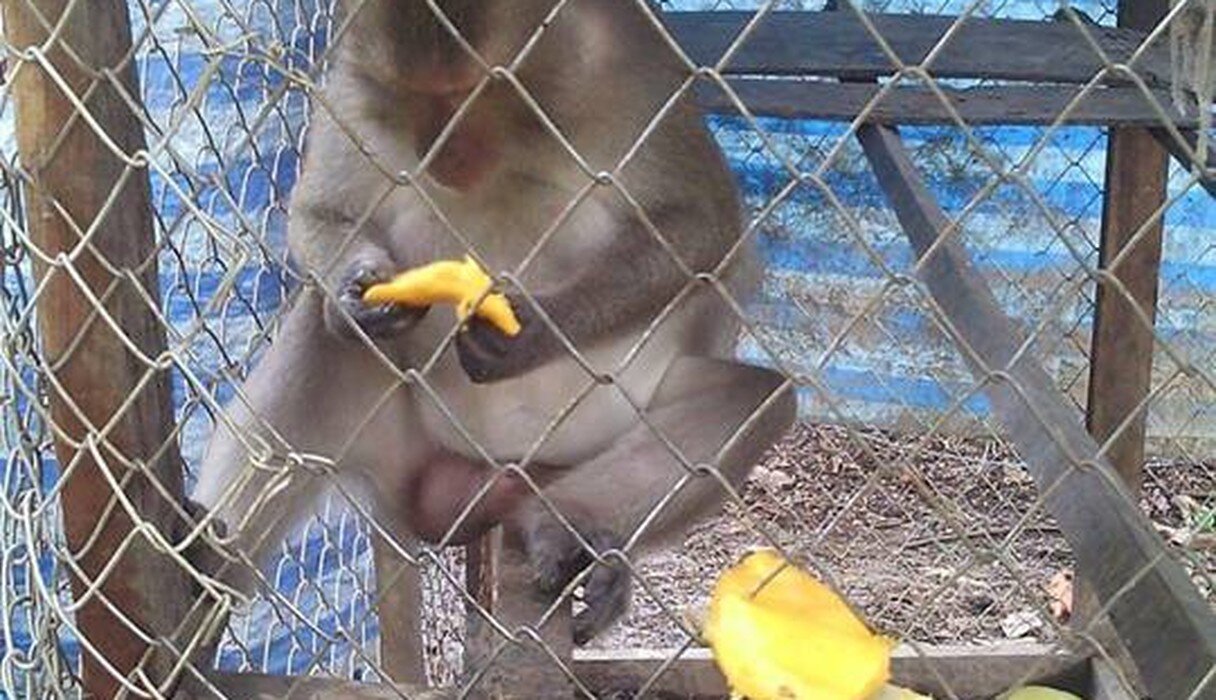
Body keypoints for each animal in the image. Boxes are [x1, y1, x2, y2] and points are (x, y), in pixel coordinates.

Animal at [190, 0, 796, 659]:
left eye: (468, 93)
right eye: (413, 97)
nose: (439, 153)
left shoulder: (629, 70)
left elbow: (698, 227)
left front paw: (530, 332)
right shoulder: (349, 82)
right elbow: (323, 211)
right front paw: (356, 298)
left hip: (584, 442)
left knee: (755, 399)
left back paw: (565, 529)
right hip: (407, 445)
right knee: (323, 335)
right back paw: (209, 569)